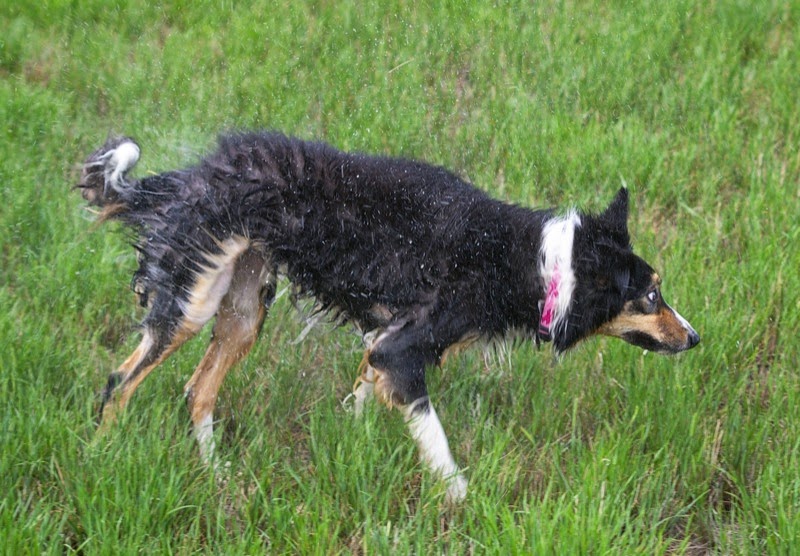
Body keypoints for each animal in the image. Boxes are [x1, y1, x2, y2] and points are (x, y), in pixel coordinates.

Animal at [76, 131, 699, 502]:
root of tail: (190, 176)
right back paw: (101, 462)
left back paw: (217, 475)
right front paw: (463, 501)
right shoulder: (399, 351)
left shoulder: (380, 349)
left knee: (197, 390)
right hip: (192, 299)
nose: (694, 338)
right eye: (651, 297)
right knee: (118, 383)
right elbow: (438, 445)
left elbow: (356, 405)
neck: (534, 263)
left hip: (245, 310)